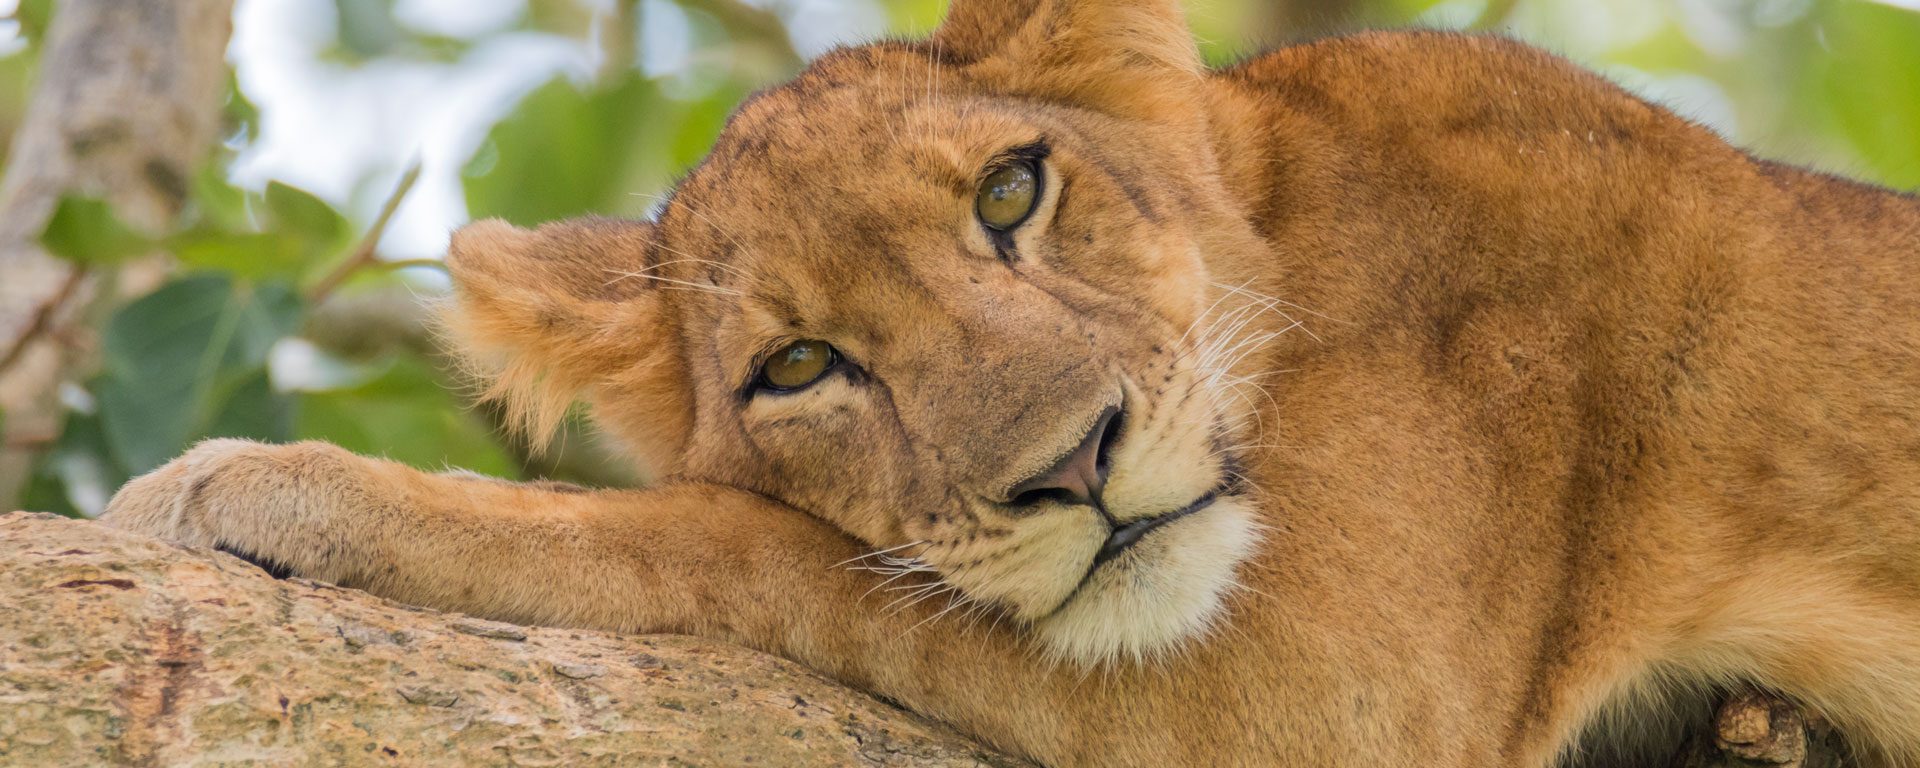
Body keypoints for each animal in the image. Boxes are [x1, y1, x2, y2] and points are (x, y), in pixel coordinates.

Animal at [102, 0, 1920, 765]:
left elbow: (738, 544)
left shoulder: (1338, 692)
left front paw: (274, 485)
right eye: (800, 365)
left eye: (1009, 193)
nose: (1079, 461)